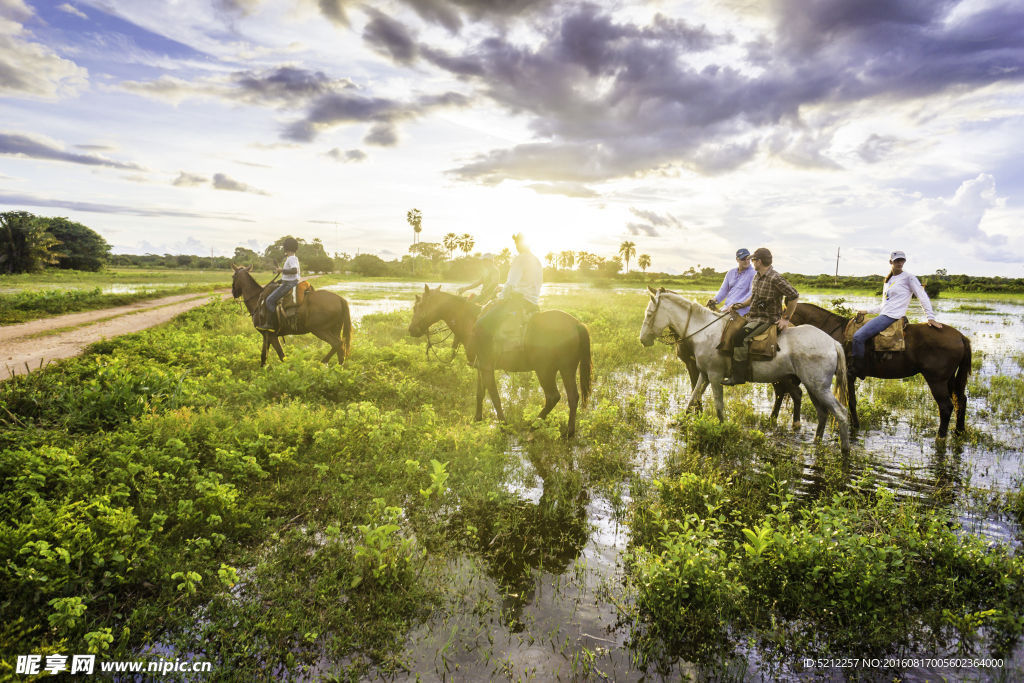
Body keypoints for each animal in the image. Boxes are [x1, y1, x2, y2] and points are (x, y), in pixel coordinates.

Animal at [403, 284, 589, 436]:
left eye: (418, 306)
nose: (411, 329)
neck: (470, 322)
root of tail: (576, 324)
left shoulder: (486, 367)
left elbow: (495, 396)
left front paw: (504, 425)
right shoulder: (480, 366)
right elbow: (480, 393)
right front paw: (477, 418)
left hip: (544, 370)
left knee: (553, 397)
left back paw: (533, 425)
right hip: (567, 368)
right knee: (573, 397)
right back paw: (569, 432)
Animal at [638, 286, 847, 456]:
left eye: (649, 314)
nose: (643, 340)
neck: (704, 331)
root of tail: (833, 342)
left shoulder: (714, 375)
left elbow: (718, 406)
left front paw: (723, 431)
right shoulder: (704, 375)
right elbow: (693, 399)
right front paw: (680, 423)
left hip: (818, 387)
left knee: (841, 413)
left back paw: (844, 452)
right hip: (813, 386)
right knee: (822, 413)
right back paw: (816, 443)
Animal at [765, 305, 970, 438]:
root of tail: (960, 336)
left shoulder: (848, 376)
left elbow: (849, 402)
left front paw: (852, 426)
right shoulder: (849, 377)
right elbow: (852, 402)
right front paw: (855, 425)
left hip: (936, 380)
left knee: (946, 407)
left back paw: (941, 437)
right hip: (949, 379)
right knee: (961, 399)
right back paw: (959, 431)